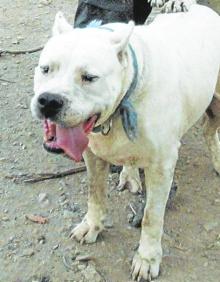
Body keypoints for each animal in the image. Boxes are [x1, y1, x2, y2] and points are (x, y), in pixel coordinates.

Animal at [31, 3, 220, 280]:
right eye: (46, 69)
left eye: (89, 77)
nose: (49, 100)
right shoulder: (93, 154)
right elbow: (95, 193)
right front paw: (92, 225)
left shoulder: (161, 166)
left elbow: (152, 216)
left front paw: (147, 258)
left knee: (209, 128)